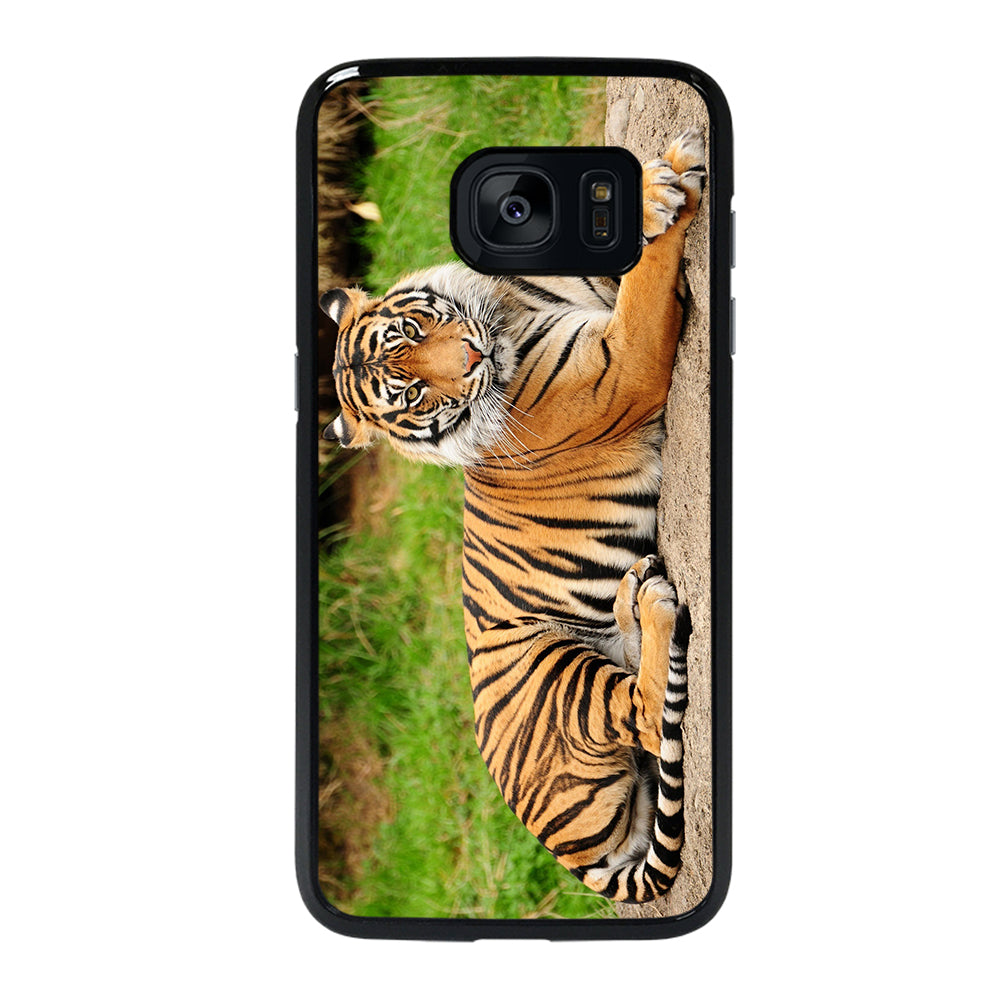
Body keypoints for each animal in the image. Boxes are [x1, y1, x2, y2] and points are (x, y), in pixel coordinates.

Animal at [320, 130, 706, 903]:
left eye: (412, 328)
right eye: (409, 393)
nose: (471, 357)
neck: (507, 307)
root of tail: (573, 857)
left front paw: (649, 186)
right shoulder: (623, 365)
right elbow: (647, 280)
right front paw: (666, 189)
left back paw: (633, 594)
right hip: (552, 669)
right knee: (649, 716)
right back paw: (652, 604)